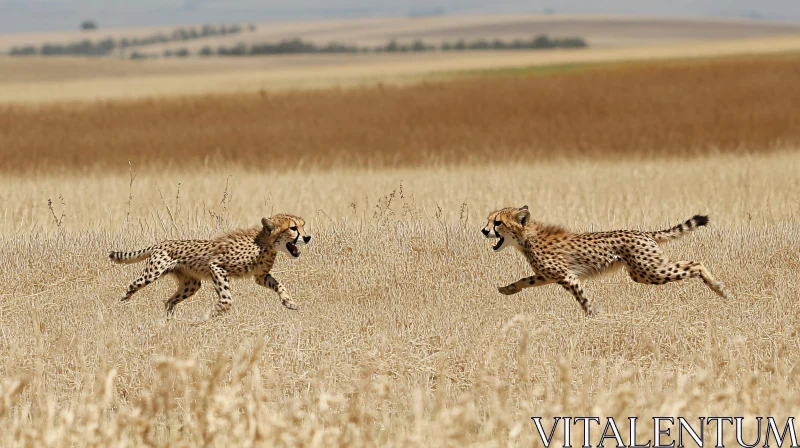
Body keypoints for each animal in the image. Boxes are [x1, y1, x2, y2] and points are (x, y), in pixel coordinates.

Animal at [109, 214, 312, 318]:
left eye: (302, 226)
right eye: (293, 228)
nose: (308, 237)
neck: (265, 245)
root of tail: (162, 242)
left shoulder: (260, 276)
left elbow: (279, 285)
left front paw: (289, 302)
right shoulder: (216, 265)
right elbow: (227, 298)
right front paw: (212, 313)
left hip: (191, 284)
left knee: (169, 301)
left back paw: (170, 321)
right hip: (153, 273)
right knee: (132, 285)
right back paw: (120, 307)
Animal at [482, 206, 732, 316]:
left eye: (497, 222)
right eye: (489, 221)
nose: (484, 231)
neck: (527, 237)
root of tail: (645, 233)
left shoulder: (568, 277)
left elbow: (583, 300)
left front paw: (592, 317)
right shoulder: (547, 276)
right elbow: (524, 280)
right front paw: (507, 289)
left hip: (648, 271)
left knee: (696, 263)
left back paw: (721, 290)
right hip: (643, 272)